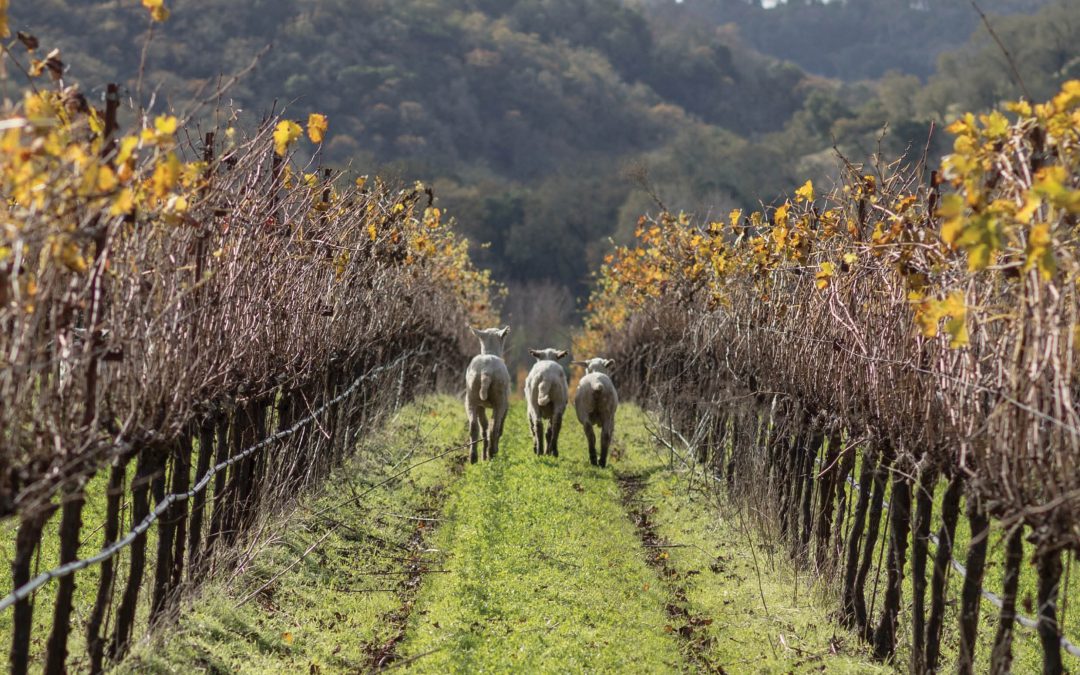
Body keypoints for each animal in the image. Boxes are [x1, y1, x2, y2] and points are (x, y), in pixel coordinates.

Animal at [466, 326, 511, 462]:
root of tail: (486, 372)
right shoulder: (506, 405)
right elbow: (498, 428)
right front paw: (488, 453)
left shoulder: (481, 405)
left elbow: (483, 426)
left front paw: (483, 456)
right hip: (499, 399)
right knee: (494, 428)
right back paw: (492, 454)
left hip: (472, 395)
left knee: (474, 426)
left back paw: (474, 457)